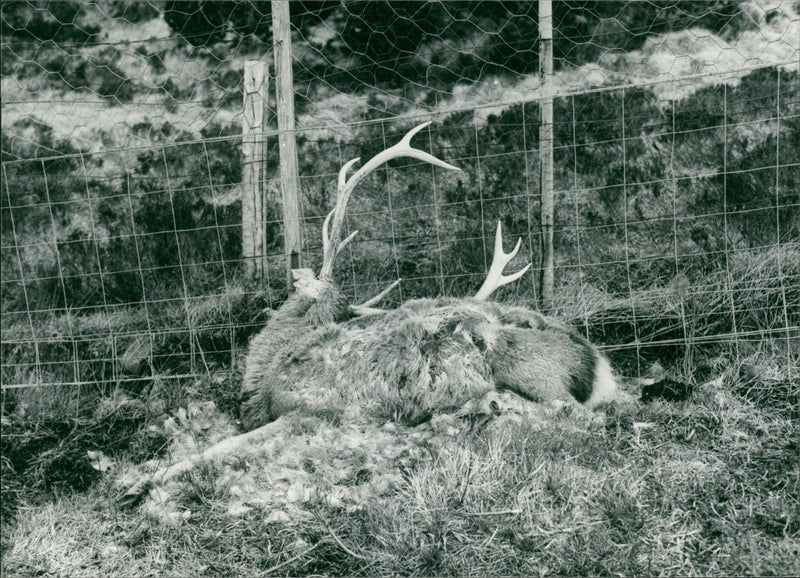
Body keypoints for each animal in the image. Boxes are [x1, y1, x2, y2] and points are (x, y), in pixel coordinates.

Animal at [119, 121, 620, 504]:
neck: (271, 369)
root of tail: (595, 363)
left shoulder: (313, 409)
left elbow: (222, 448)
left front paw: (139, 483)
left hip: (533, 375)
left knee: (577, 414)